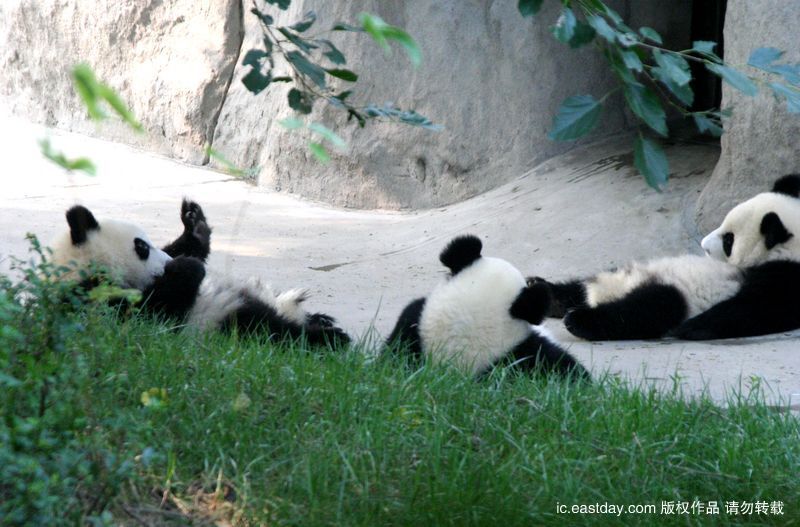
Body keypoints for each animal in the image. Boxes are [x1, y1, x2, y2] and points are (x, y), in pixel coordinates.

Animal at [50, 200, 350, 348]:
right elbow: (152, 313)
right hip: (227, 321)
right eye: (141, 247)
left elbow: (185, 248)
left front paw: (194, 223)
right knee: (271, 331)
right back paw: (329, 338)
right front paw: (186, 268)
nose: (167, 263)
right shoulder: (94, 303)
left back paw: (322, 321)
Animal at [536, 171, 800, 340]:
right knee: (577, 288)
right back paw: (546, 293)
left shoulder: (785, 273)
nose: (703, 246)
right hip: (622, 272)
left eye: (729, 240)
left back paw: (579, 320)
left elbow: (760, 307)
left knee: (646, 310)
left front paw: (692, 328)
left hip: (673, 295)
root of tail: (603, 292)